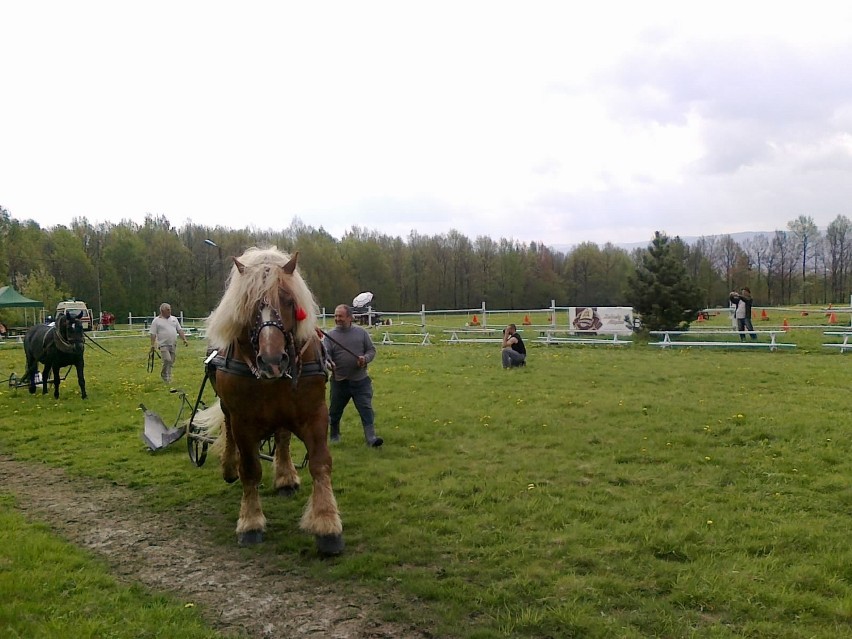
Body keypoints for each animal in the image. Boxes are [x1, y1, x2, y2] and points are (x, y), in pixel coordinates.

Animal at [193, 248, 342, 556]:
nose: (272, 361)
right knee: (229, 432)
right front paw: (250, 522)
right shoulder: (243, 421)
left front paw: (326, 523)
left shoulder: (315, 414)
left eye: (289, 301)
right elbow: (250, 469)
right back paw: (229, 465)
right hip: (229, 408)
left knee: (282, 437)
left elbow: (320, 463)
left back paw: (285, 477)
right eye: (248, 305)